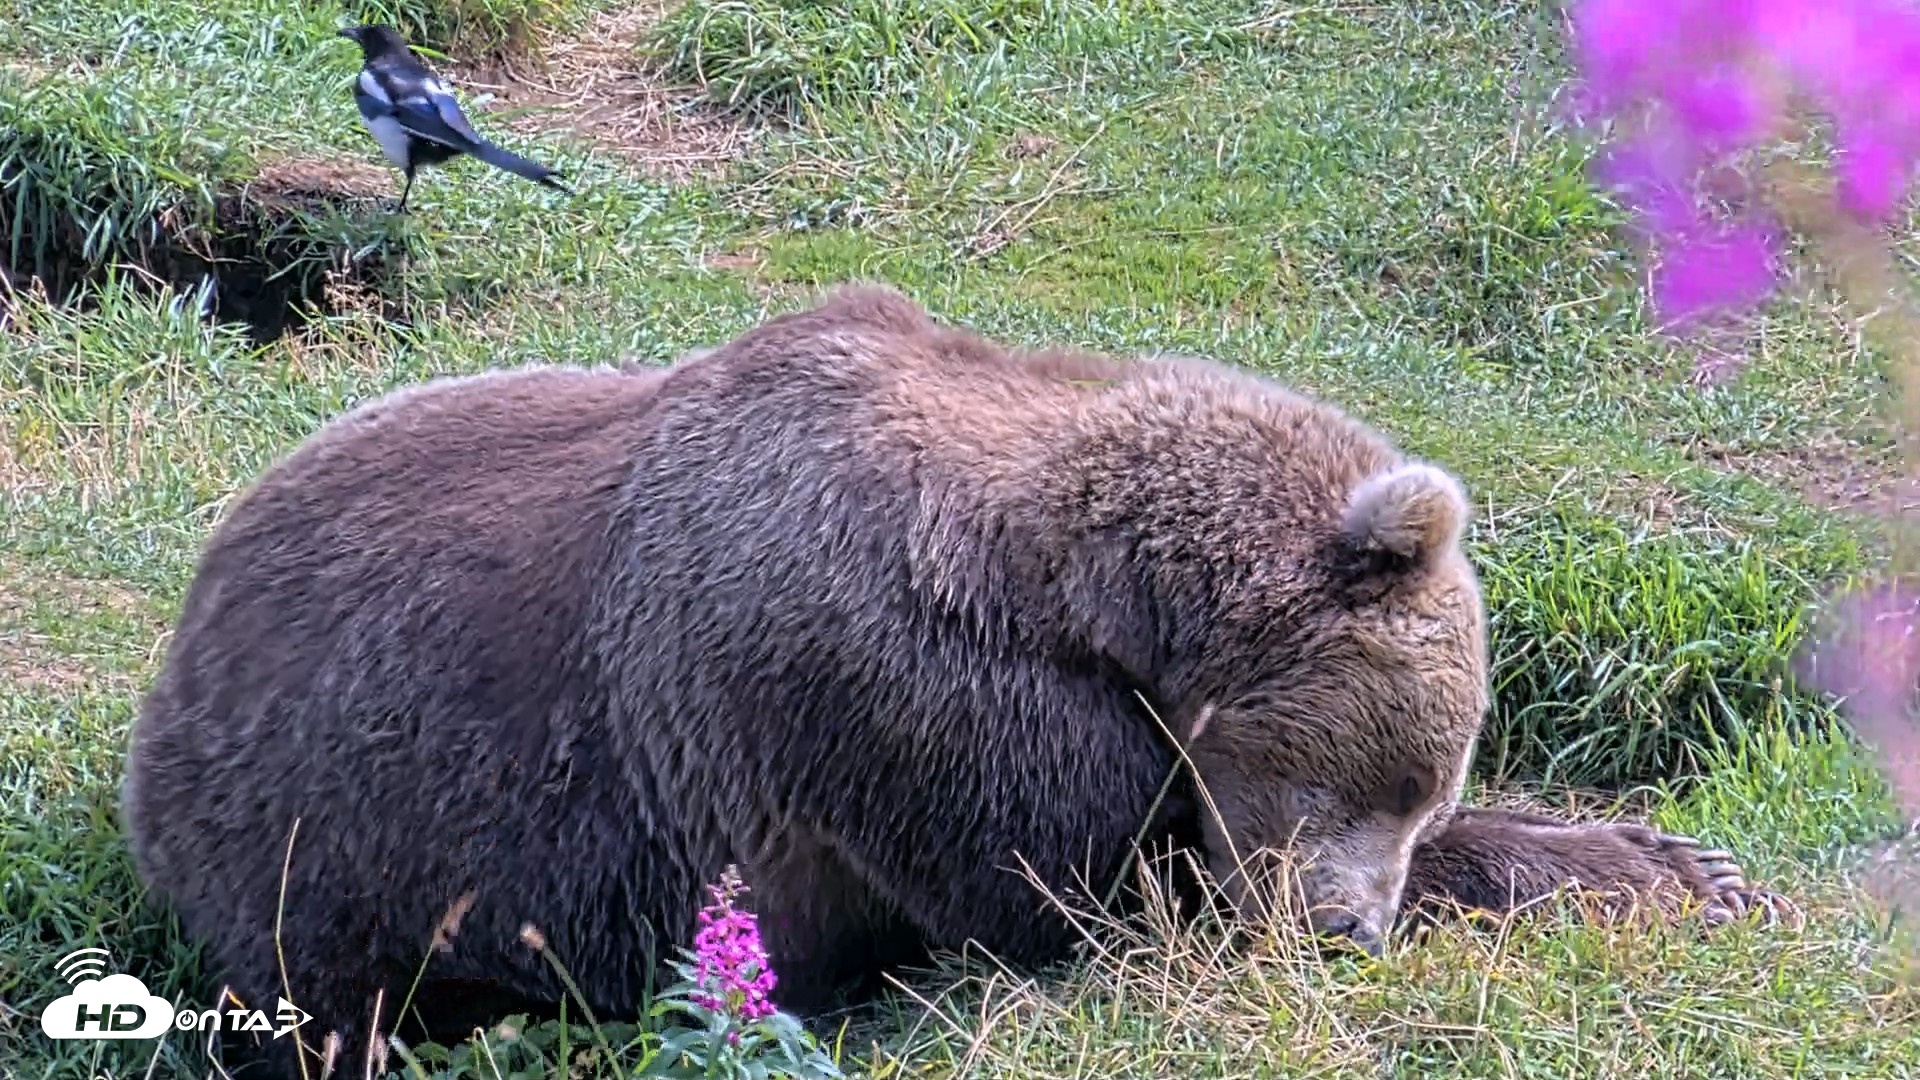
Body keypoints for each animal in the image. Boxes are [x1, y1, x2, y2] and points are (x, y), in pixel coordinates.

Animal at [120, 284, 1785, 1079]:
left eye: (1420, 782)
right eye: (1361, 784)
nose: (1342, 929)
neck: (1079, 602)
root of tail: (191, 618)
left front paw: (1673, 862)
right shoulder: (892, 686)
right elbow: (1100, 896)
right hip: (349, 843)